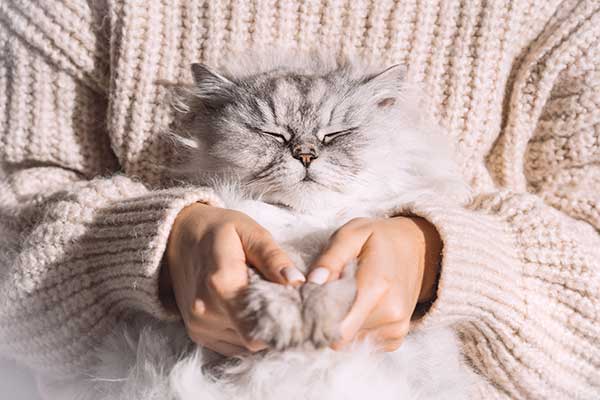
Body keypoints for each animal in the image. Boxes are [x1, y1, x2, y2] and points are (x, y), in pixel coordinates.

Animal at [168, 49, 468, 350]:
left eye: (335, 134)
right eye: (273, 134)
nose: (305, 155)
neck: (305, 222)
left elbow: (326, 282)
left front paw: (321, 322)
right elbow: (279, 280)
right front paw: (283, 323)